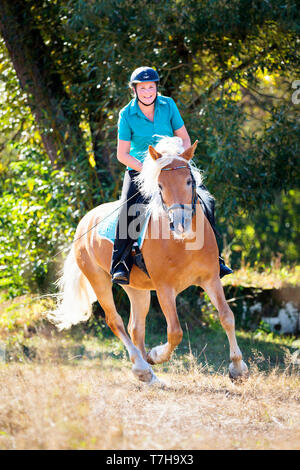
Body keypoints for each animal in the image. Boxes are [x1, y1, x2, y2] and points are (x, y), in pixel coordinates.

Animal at [50, 136, 248, 386]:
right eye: (160, 186)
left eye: (188, 182)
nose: (180, 224)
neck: (184, 243)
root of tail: (85, 221)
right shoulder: (164, 288)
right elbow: (175, 331)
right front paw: (156, 354)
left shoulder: (211, 279)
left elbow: (227, 317)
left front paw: (238, 368)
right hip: (99, 280)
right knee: (115, 321)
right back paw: (143, 367)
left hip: (137, 289)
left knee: (135, 326)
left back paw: (150, 375)